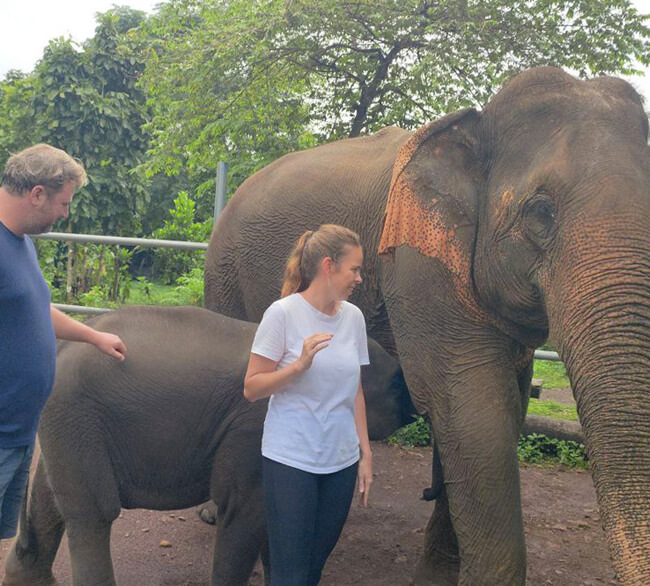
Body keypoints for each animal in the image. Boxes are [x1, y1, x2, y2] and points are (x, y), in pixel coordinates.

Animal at [3, 304, 410, 580]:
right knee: (93, 513)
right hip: (76, 416)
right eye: (394, 386)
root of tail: (62, 346)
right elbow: (244, 509)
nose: (411, 403)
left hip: (66, 423)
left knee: (49, 497)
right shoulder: (255, 424)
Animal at [206, 66, 648, 580]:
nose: (427, 490)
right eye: (540, 212)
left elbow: (503, 409)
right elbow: (471, 410)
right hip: (223, 268)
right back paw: (213, 513)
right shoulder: (418, 263)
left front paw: (436, 576)